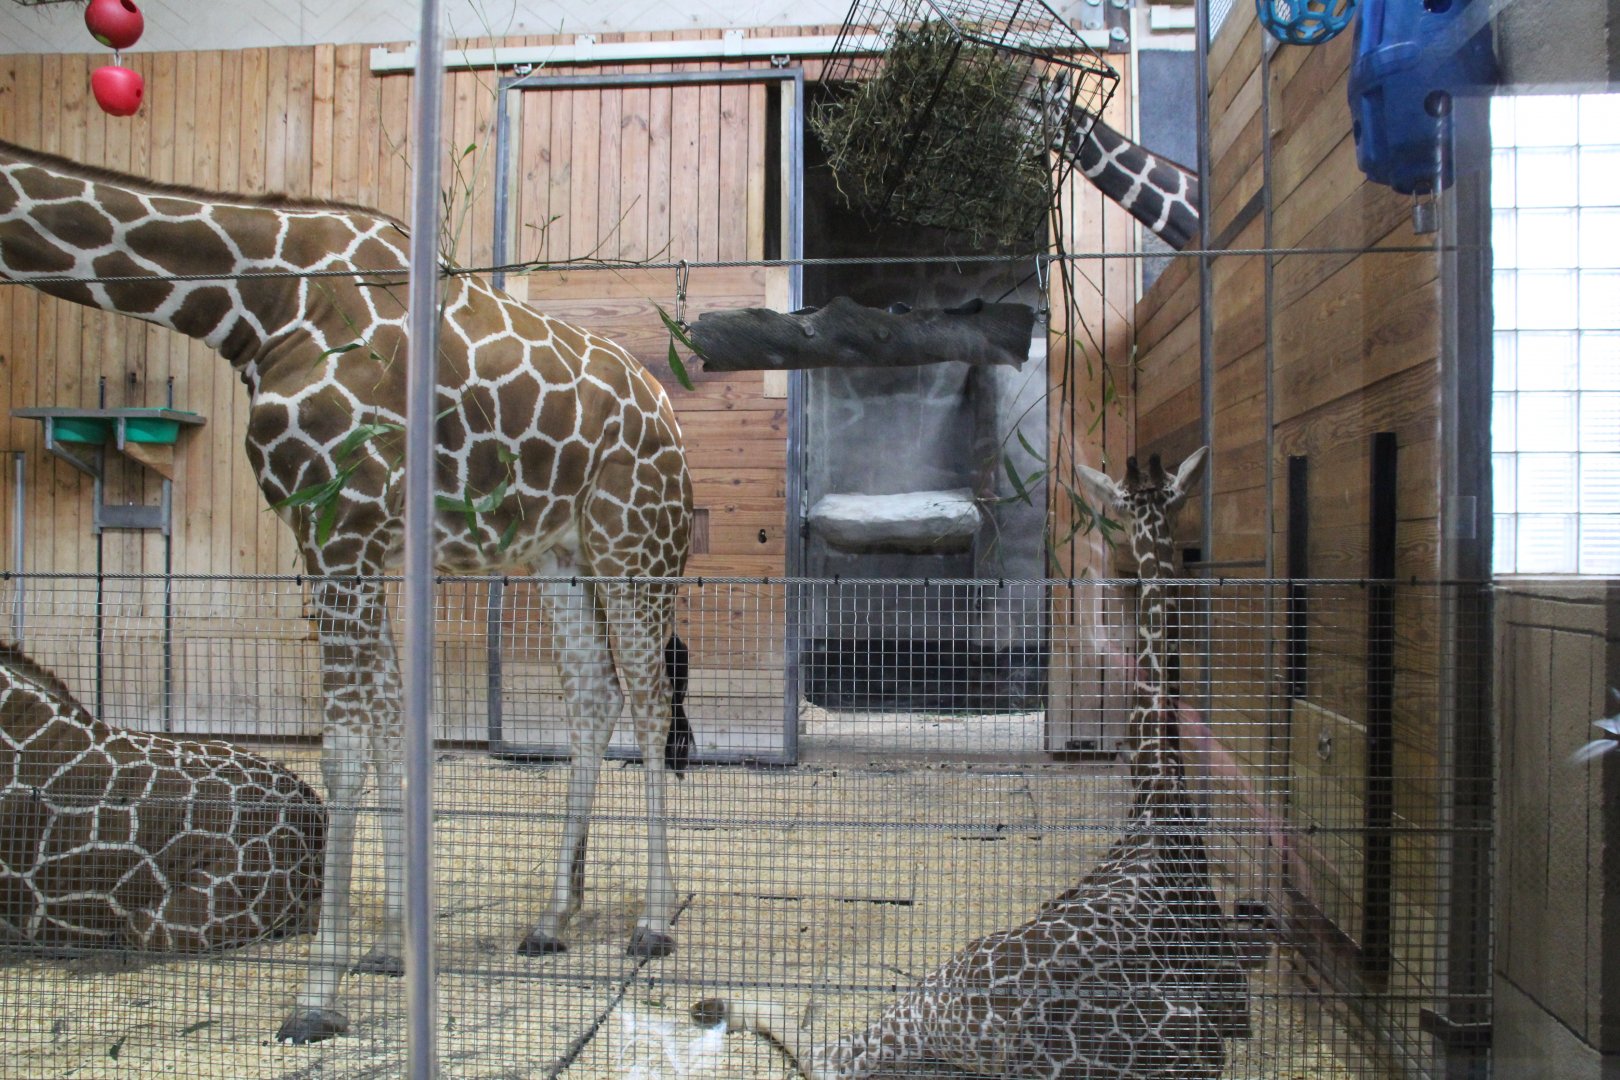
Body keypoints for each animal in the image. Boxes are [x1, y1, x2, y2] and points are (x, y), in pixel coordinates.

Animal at [692, 447, 1273, 1078]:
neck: (1158, 802)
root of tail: (957, 1026)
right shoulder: (1227, 995)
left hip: (930, 982)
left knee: (825, 1048)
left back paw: (720, 1005)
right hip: (1189, 1040)